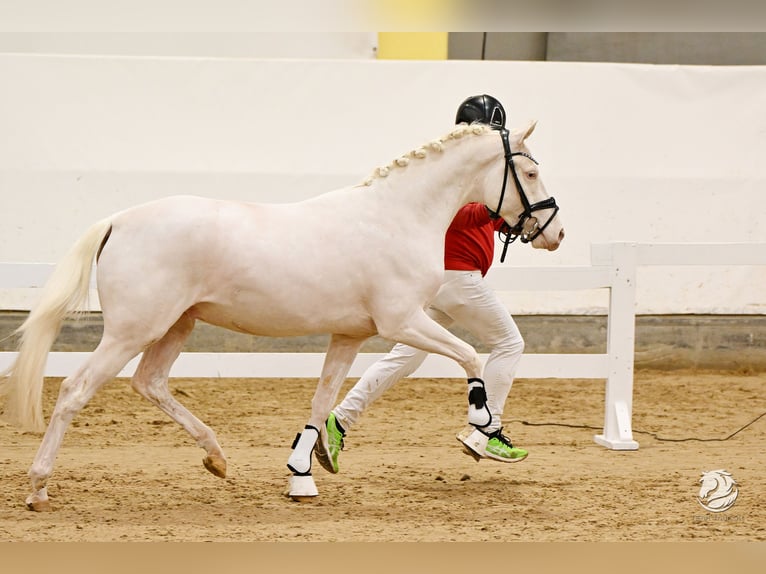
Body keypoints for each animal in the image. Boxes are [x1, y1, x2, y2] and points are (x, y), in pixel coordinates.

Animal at [0, 120, 564, 508]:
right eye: (531, 171)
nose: (555, 233)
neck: (397, 217)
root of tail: (118, 219)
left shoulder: (349, 336)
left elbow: (322, 401)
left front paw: (303, 474)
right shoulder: (402, 322)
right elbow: (470, 355)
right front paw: (483, 424)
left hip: (177, 325)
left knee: (151, 383)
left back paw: (217, 458)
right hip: (131, 330)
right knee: (75, 391)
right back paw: (38, 489)